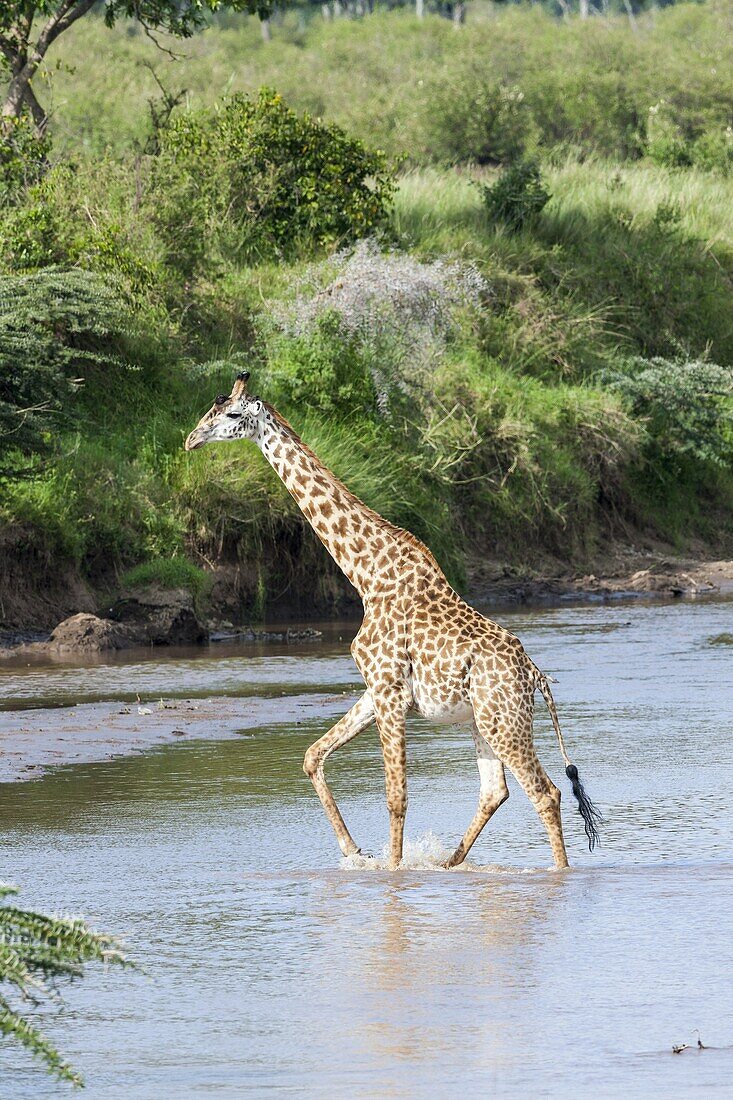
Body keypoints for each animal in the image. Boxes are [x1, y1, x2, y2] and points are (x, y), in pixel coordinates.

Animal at [183, 374, 598, 871]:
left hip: (504, 719)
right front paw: (354, 852)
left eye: (229, 414)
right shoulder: (376, 690)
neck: (365, 573)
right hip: (483, 720)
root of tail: (533, 675)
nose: (190, 440)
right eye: (208, 410)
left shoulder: (390, 693)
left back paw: (557, 875)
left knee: (545, 792)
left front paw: (394, 873)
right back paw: (449, 864)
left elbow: (395, 796)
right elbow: (312, 756)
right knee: (495, 790)